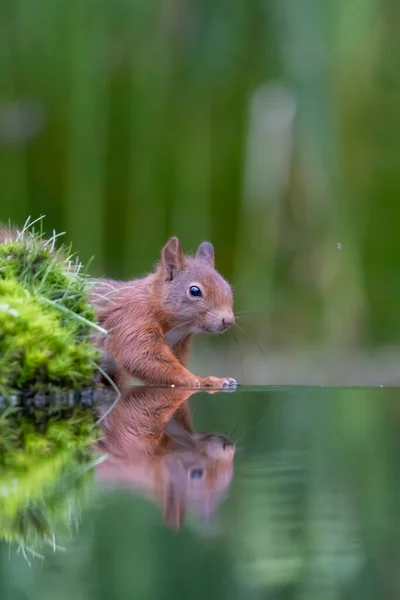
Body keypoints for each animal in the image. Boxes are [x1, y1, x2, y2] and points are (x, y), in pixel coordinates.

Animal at [90, 236, 238, 390]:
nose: (228, 321)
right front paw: (204, 380)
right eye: (194, 291)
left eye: (228, 287)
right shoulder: (132, 319)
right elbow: (141, 358)